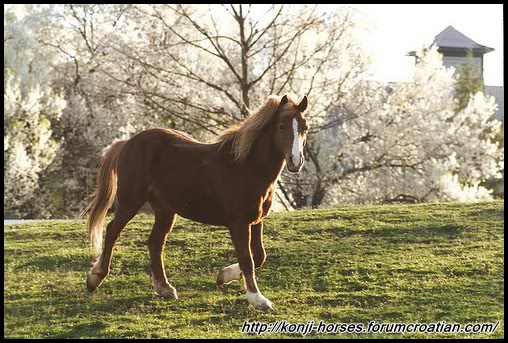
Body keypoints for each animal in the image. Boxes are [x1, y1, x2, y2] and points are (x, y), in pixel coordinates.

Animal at [82, 94, 310, 312]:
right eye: (281, 126)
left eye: (305, 127)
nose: (295, 162)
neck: (247, 167)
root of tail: (126, 144)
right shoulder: (238, 223)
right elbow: (248, 259)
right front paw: (258, 300)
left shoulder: (256, 221)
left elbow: (258, 256)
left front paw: (223, 276)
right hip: (131, 201)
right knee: (112, 231)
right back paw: (95, 278)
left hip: (165, 210)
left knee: (155, 242)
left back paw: (164, 288)